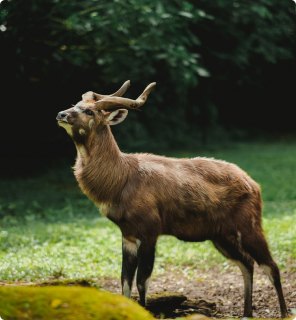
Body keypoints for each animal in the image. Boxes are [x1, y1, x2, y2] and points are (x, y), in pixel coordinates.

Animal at [55, 80, 286, 318]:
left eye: (89, 111)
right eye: (75, 104)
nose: (61, 114)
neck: (122, 177)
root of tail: (253, 184)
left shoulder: (150, 233)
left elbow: (142, 281)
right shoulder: (128, 235)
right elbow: (125, 282)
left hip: (249, 227)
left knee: (271, 266)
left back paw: (285, 313)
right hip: (221, 237)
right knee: (247, 263)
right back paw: (246, 313)